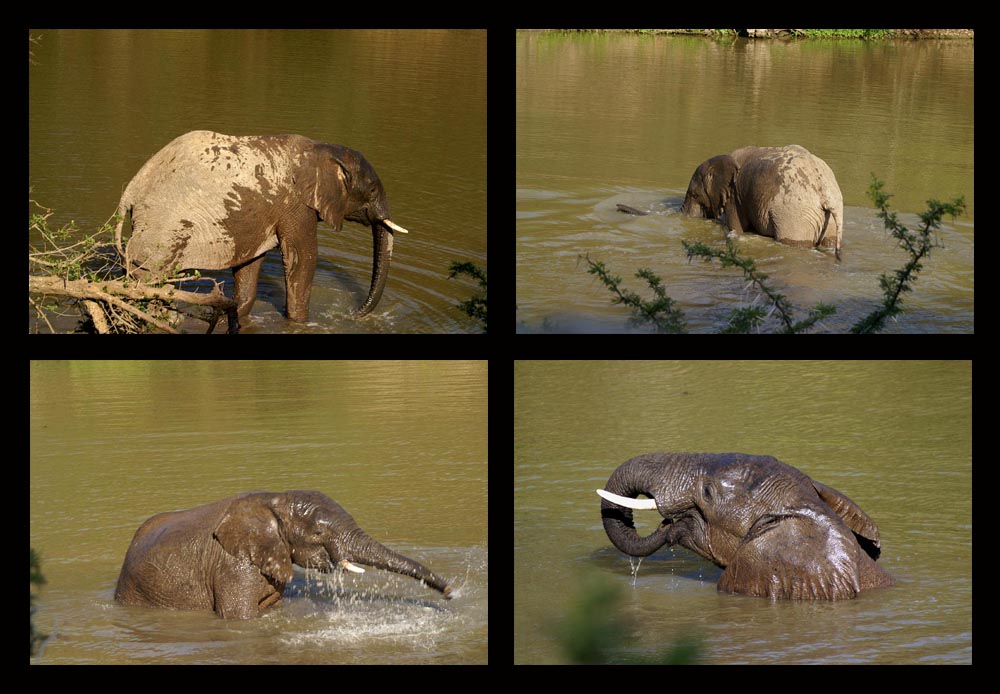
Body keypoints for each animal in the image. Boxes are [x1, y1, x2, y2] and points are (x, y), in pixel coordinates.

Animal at [116, 131, 410, 324]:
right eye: (372, 190)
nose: (352, 315)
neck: (320, 151)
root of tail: (128, 193)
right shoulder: (295, 204)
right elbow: (302, 259)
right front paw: (299, 323)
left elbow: (251, 263)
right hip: (160, 234)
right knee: (152, 283)